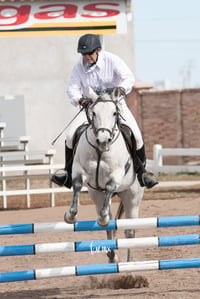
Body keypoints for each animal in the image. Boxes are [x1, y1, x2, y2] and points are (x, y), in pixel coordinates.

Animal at [64, 86, 144, 262]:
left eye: (114, 113)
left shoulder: (116, 174)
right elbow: (77, 185)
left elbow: (109, 186)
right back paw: (112, 256)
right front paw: (70, 215)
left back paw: (129, 263)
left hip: (132, 198)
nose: (103, 141)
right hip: (97, 195)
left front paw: (102, 218)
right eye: (93, 113)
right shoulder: (79, 169)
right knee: (110, 227)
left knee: (130, 230)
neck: (100, 151)